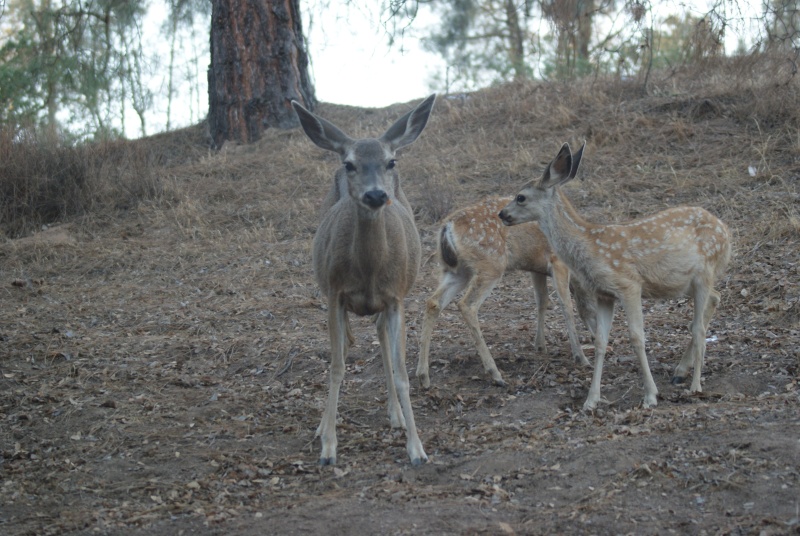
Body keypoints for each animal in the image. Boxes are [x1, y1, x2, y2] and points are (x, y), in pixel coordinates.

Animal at [290, 95, 434, 464]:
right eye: (350, 164)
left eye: (391, 161)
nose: (375, 195)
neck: (369, 271)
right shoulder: (334, 294)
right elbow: (337, 367)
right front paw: (328, 445)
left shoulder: (396, 298)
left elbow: (401, 372)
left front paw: (417, 448)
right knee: (351, 346)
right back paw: (324, 426)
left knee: (382, 337)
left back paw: (396, 415)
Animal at [416, 197, 596, 390]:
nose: (599, 337)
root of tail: (447, 226)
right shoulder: (557, 261)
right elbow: (566, 306)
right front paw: (580, 357)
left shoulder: (536, 268)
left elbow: (542, 301)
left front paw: (540, 345)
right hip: (491, 264)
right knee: (467, 305)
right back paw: (495, 373)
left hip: (457, 271)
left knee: (433, 302)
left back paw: (423, 376)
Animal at [500, 142, 732, 410]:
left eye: (520, 197)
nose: (501, 214)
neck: (590, 246)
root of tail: (725, 230)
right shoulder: (604, 294)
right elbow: (600, 341)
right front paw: (591, 400)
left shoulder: (629, 284)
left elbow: (637, 337)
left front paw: (650, 395)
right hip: (689, 282)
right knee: (715, 299)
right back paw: (680, 372)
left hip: (705, 270)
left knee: (699, 327)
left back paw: (695, 386)